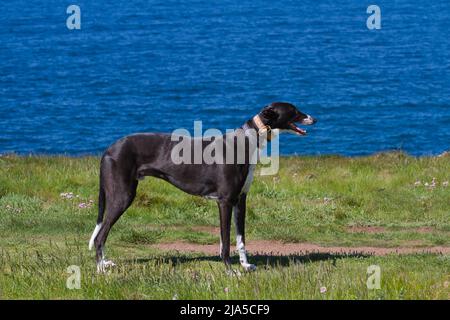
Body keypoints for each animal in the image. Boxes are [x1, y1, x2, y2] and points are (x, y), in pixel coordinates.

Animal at [89, 102, 316, 272]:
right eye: (294, 110)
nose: (314, 118)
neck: (246, 141)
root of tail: (109, 149)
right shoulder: (225, 201)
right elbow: (226, 242)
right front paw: (230, 271)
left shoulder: (240, 200)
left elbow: (240, 239)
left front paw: (245, 265)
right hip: (122, 196)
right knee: (100, 236)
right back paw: (101, 269)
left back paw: (105, 263)